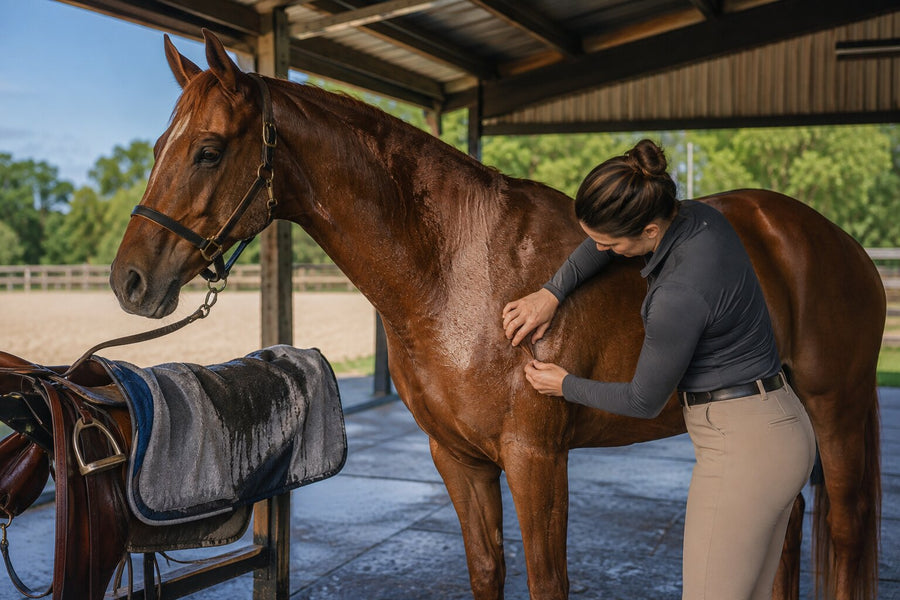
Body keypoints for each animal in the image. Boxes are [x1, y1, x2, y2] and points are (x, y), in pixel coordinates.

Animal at [109, 29, 885, 600]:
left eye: (209, 151)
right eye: (160, 147)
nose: (130, 281)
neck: (458, 272)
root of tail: (834, 240)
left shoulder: (536, 459)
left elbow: (548, 580)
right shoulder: (458, 459)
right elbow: (488, 571)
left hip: (836, 409)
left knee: (845, 533)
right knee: (786, 527)